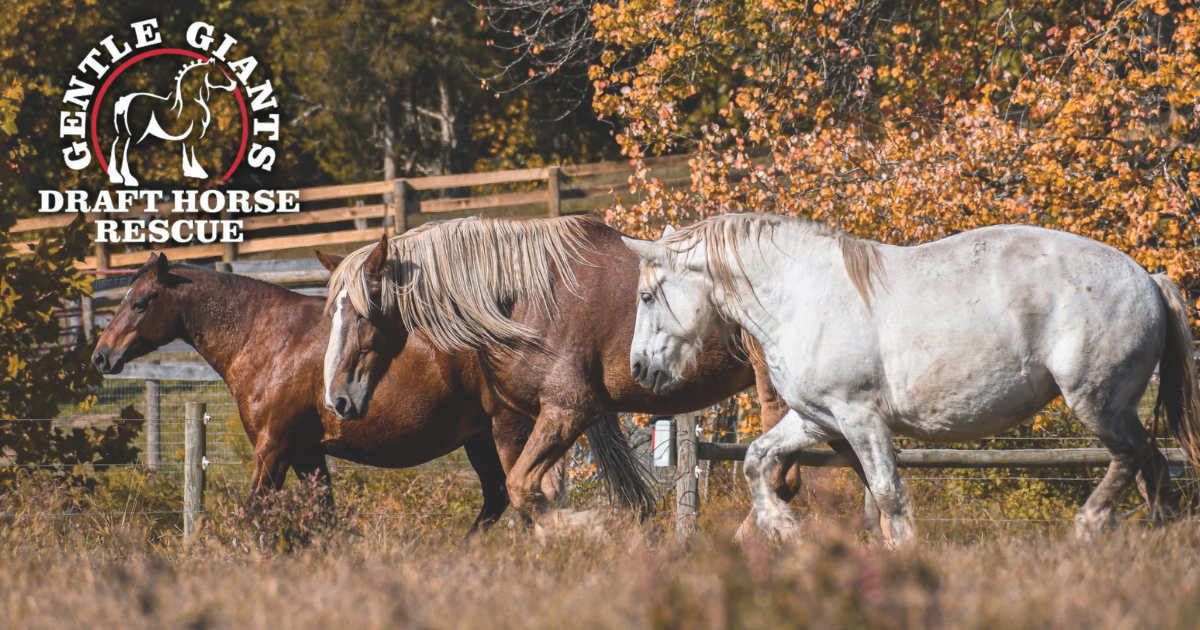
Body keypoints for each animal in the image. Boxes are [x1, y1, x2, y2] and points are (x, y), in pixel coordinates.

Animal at [93, 250, 652, 530]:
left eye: (140, 302)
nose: (101, 355)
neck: (270, 339)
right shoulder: (307, 454)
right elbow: (324, 521)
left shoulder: (273, 449)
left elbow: (253, 515)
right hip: (481, 439)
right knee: (500, 498)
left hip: (510, 432)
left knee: (530, 497)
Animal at [324, 216, 873, 530]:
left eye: (362, 311)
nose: (339, 399)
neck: (522, 300)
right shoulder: (534, 420)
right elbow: (535, 494)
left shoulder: (568, 411)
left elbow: (525, 491)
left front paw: (585, 527)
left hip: (780, 395)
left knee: (784, 479)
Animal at [628, 213, 1200, 542]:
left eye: (647, 296)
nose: (639, 368)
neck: (802, 297)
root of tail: (1149, 278)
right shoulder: (817, 420)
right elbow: (756, 458)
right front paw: (783, 527)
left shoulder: (860, 419)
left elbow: (888, 497)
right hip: (1112, 406)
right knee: (1153, 467)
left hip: (1096, 401)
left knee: (1132, 457)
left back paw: (1089, 526)